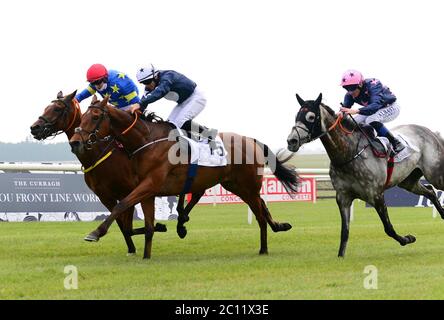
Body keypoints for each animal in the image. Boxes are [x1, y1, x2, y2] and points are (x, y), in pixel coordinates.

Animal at [29, 91, 166, 256]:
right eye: (46, 108)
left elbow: (126, 222)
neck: (98, 154)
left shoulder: (129, 191)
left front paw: (156, 229)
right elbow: (123, 225)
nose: (34, 128)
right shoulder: (105, 196)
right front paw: (132, 247)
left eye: (57, 108)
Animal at [69, 96, 298, 258]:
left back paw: (263, 248)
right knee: (262, 206)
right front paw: (146, 256)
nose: (75, 142)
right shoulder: (147, 190)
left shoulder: (149, 184)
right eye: (82, 117)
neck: (146, 140)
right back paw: (278, 227)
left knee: (259, 214)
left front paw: (95, 233)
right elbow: (148, 226)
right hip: (235, 185)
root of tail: (251, 139)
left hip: (247, 186)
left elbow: (122, 205)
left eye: (95, 117)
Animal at [286, 93, 444, 258]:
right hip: (408, 181)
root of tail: (430, 132)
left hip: (435, 175)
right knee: (430, 191)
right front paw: (341, 256)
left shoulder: (376, 195)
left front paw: (407, 239)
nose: (291, 141)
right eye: (296, 116)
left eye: (311, 117)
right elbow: (345, 231)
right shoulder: (343, 197)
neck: (348, 154)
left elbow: (388, 228)